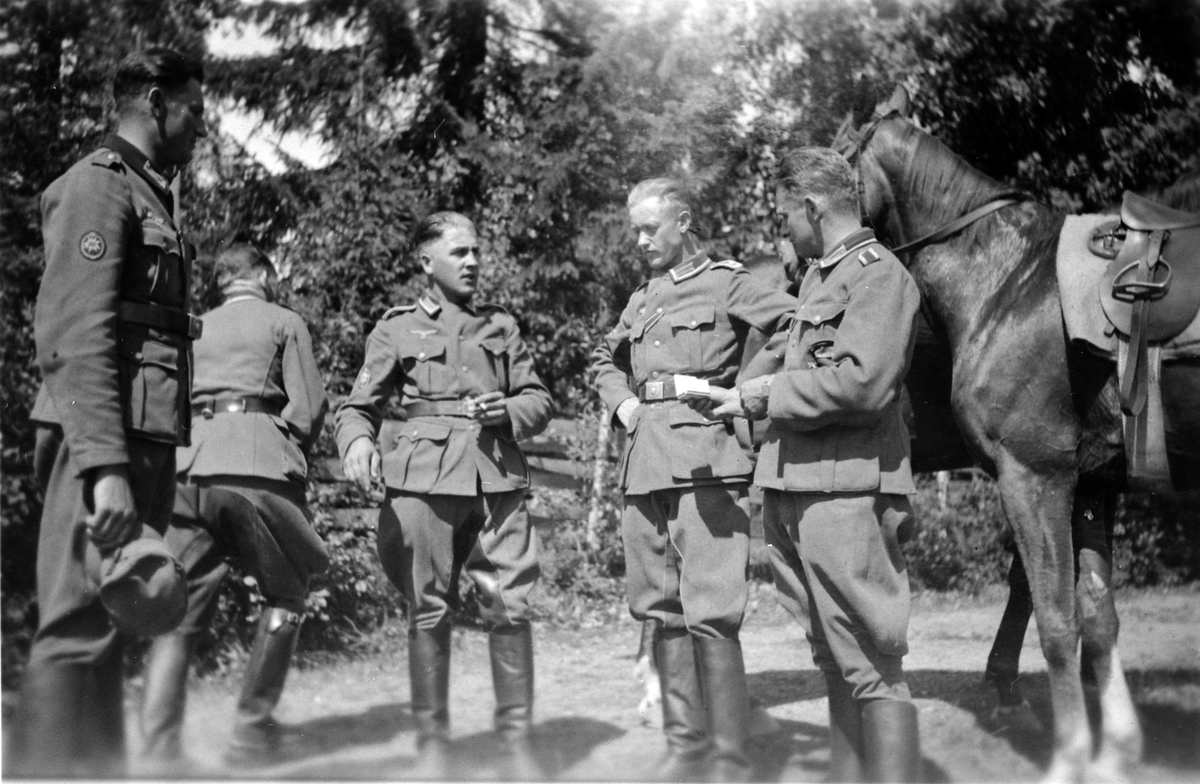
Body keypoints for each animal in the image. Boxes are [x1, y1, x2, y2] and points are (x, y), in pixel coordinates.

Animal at [835, 84, 1200, 777]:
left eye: (833, 159)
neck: (1008, 281)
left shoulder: (1039, 476)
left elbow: (1063, 618)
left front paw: (1076, 754)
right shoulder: (1076, 483)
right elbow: (1088, 614)